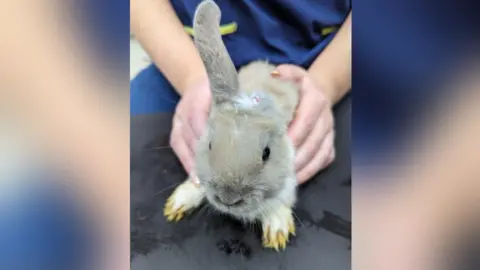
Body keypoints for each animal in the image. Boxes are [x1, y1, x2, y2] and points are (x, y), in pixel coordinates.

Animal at [165, 0, 300, 251]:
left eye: (267, 153)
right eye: (209, 145)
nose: (228, 199)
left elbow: (282, 198)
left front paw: (277, 229)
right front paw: (178, 203)